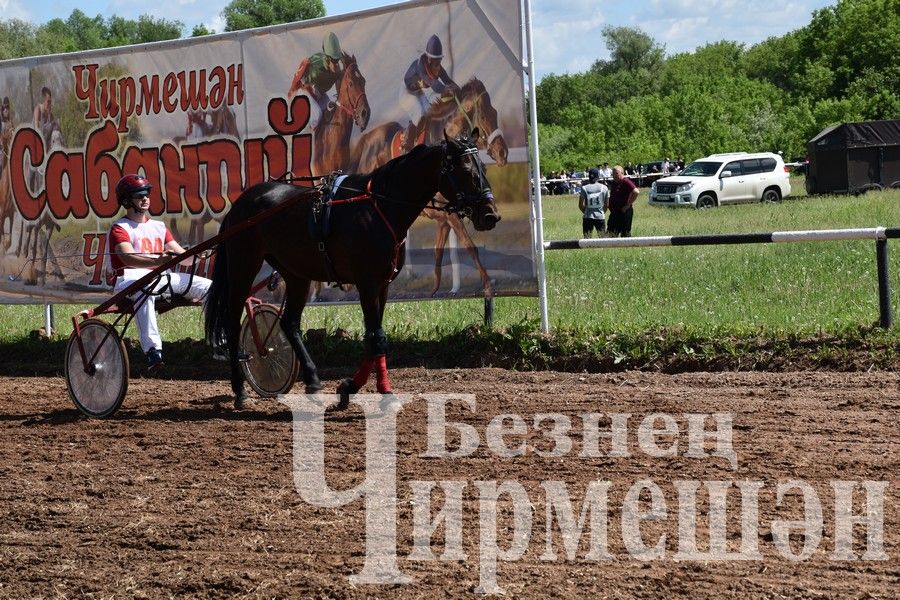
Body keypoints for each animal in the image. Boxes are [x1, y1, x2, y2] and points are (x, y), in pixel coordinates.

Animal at [206, 129, 500, 410]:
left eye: (483, 170)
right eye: (465, 170)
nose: (490, 215)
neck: (379, 207)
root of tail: (241, 203)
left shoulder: (382, 285)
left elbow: (374, 339)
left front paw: (350, 387)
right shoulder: (366, 283)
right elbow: (377, 338)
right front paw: (382, 393)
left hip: (296, 273)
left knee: (289, 322)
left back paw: (312, 380)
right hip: (243, 265)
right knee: (232, 321)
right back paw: (241, 391)